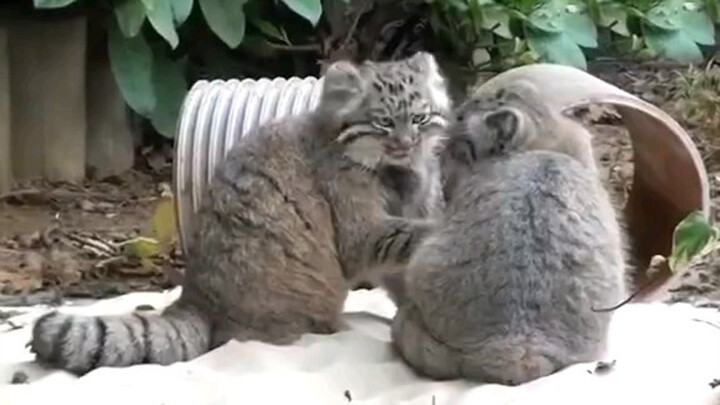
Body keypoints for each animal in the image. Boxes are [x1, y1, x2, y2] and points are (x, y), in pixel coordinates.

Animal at [32, 52, 456, 374]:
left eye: (419, 119)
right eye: (384, 123)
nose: (406, 144)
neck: (398, 174)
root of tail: (196, 299)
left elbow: (403, 276)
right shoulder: (362, 233)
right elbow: (407, 234)